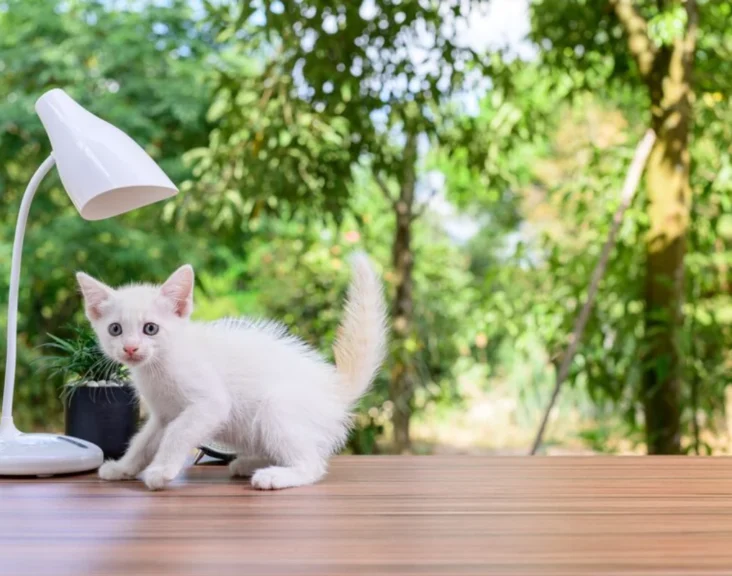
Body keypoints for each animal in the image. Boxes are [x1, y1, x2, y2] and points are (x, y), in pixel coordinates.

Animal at [77, 252, 388, 490]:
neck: (159, 366)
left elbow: (177, 433)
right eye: (115, 329)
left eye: (150, 328)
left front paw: (161, 471)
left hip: (278, 407)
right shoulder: (163, 414)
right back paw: (249, 463)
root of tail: (334, 387)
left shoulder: (210, 403)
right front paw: (123, 468)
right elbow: (143, 441)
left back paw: (275, 476)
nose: (130, 348)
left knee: (312, 464)